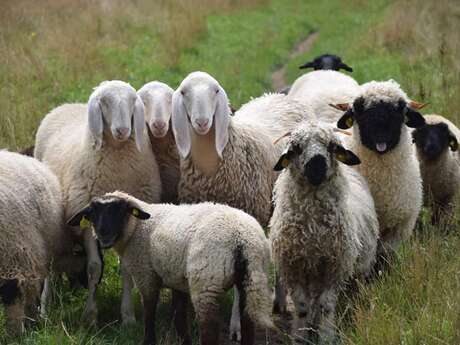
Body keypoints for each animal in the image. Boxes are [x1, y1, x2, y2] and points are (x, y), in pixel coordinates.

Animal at [33, 80, 162, 326]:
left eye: (132, 101)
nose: (123, 130)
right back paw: (45, 307)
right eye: (104, 102)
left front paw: (128, 317)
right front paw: (90, 317)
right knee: (51, 265)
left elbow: (127, 270)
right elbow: (93, 268)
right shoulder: (86, 218)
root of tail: (69, 104)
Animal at [65, 191, 274, 344]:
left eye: (120, 210)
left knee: (210, 329)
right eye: (93, 213)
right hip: (252, 277)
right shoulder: (177, 279)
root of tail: (240, 238)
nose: (103, 235)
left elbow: (149, 312)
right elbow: (180, 318)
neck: (137, 228)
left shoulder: (146, 275)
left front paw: (149, 341)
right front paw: (184, 341)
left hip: (206, 280)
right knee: (248, 322)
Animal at [270, 121, 378, 342]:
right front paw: (300, 337)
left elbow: (326, 305)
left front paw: (327, 336)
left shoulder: (335, 266)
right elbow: (302, 306)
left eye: (332, 146)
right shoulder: (294, 266)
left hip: (358, 268)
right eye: (296, 148)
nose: (317, 165)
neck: (313, 231)